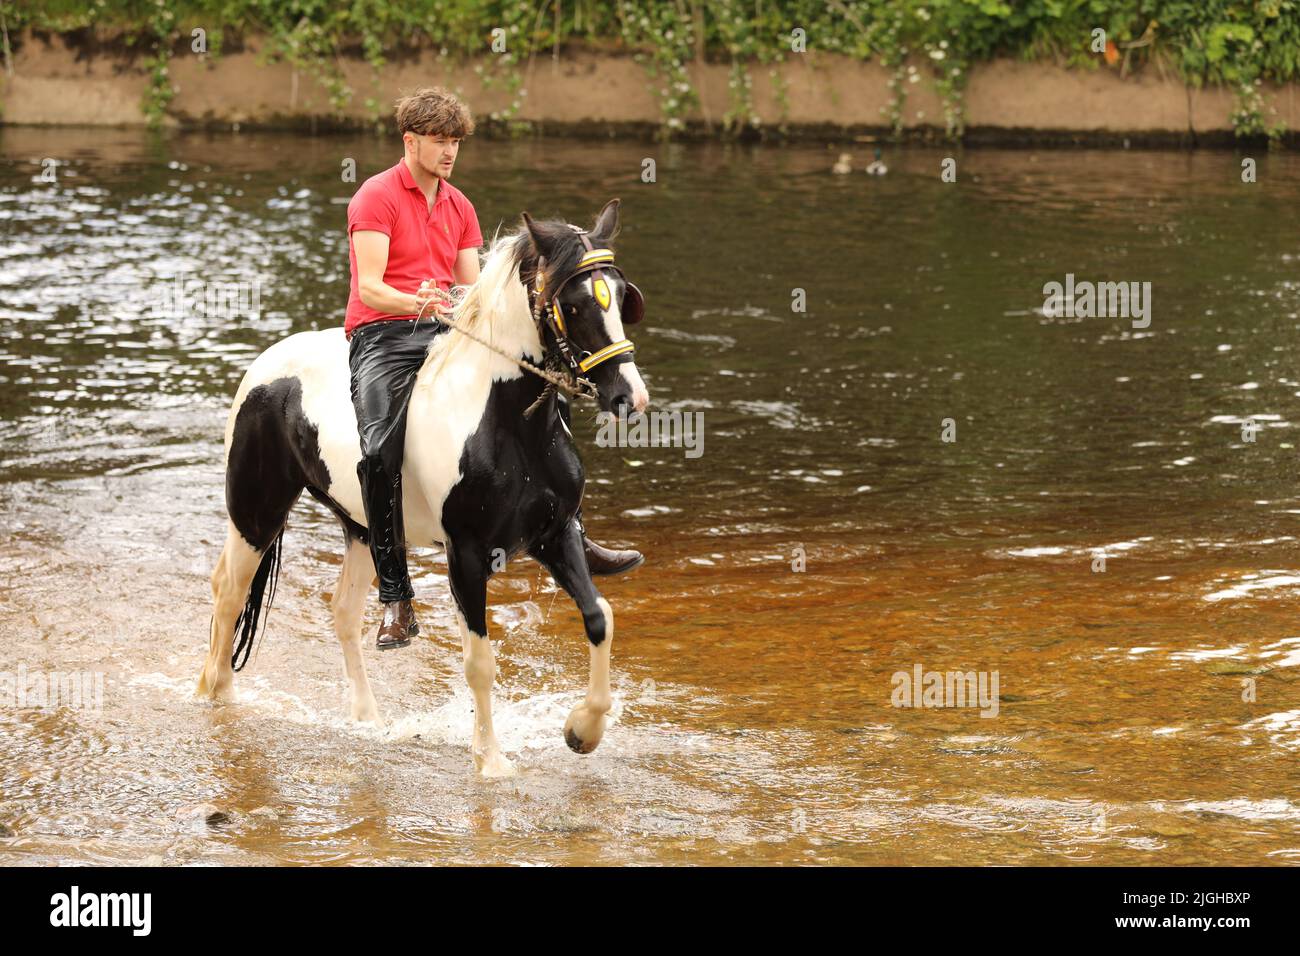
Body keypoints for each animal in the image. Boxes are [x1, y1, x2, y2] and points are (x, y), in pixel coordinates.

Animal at [195, 200, 650, 780]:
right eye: (572, 305)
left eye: (620, 293)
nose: (629, 396)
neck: (505, 423)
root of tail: (267, 363)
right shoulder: (467, 553)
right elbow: (479, 660)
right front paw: (491, 761)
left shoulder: (557, 534)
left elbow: (598, 618)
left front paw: (582, 731)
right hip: (256, 513)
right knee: (229, 592)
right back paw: (217, 696)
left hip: (362, 527)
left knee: (343, 612)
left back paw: (367, 719)